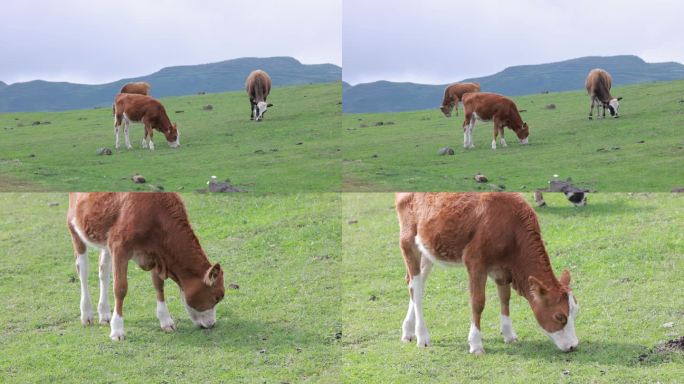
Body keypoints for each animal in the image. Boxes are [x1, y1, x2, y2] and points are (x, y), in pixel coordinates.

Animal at [68, 194, 226, 340]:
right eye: (217, 297)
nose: (212, 324)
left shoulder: (156, 254)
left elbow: (159, 286)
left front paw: (166, 321)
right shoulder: (119, 247)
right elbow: (120, 289)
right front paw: (117, 330)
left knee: (104, 271)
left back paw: (104, 313)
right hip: (74, 225)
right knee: (83, 271)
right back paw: (87, 314)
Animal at [396, 192, 576, 354]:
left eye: (575, 312)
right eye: (559, 317)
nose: (573, 346)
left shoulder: (502, 269)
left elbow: (505, 298)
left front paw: (509, 334)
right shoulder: (475, 262)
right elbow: (478, 303)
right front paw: (476, 344)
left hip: (427, 249)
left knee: (414, 282)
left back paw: (408, 331)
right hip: (408, 239)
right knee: (416, 287)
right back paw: (422, 336)